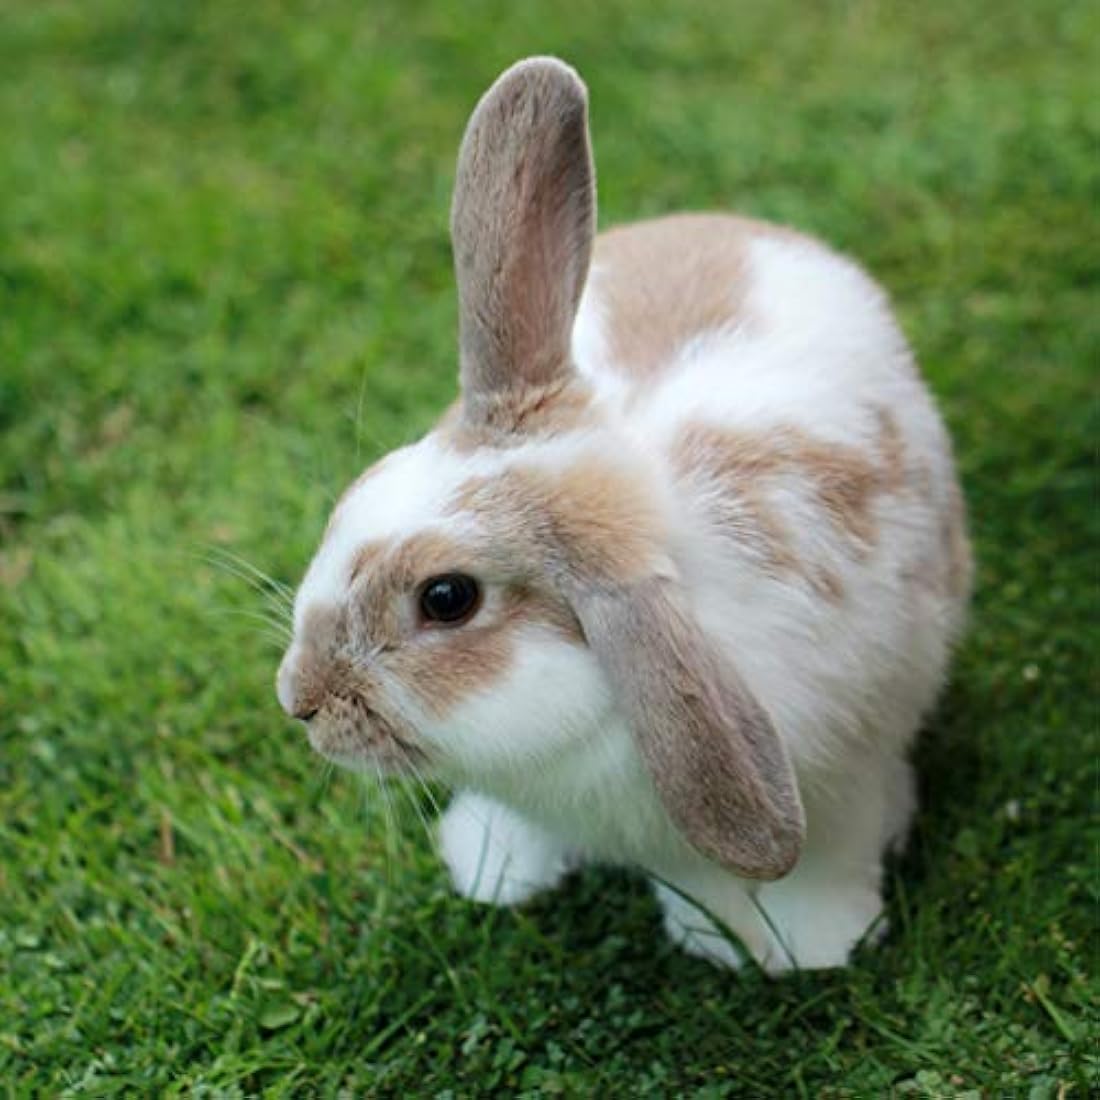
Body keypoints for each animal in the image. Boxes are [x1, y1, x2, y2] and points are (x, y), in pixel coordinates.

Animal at [276, 57, 972, 973]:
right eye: (362, 490)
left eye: (447, 599)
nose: (299, 699)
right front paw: (494, 868)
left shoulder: (840, 775)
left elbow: (822, 860)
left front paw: (812, 944)